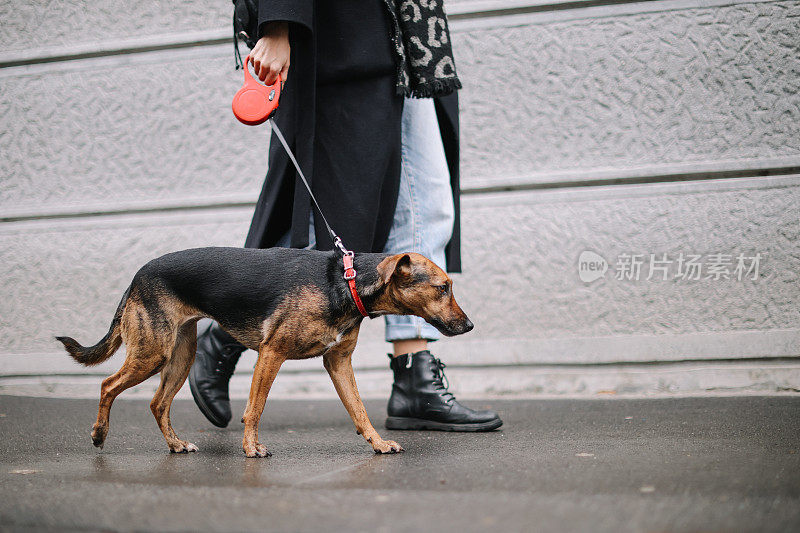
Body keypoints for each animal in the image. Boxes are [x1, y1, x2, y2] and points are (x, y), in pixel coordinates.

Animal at [57, 247, 476, 456]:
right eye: (443, 288)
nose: (470, 326)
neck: (345, 281)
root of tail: (137, 276)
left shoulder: (338, 361)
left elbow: (359, 410)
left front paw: (378, 443)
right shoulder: (271, 354)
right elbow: (254, 409)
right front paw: (250, 448)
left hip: (181, 355)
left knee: (158, 403)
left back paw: (175, 444)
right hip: (152, 352)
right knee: (108, 385)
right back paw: (99, 435)